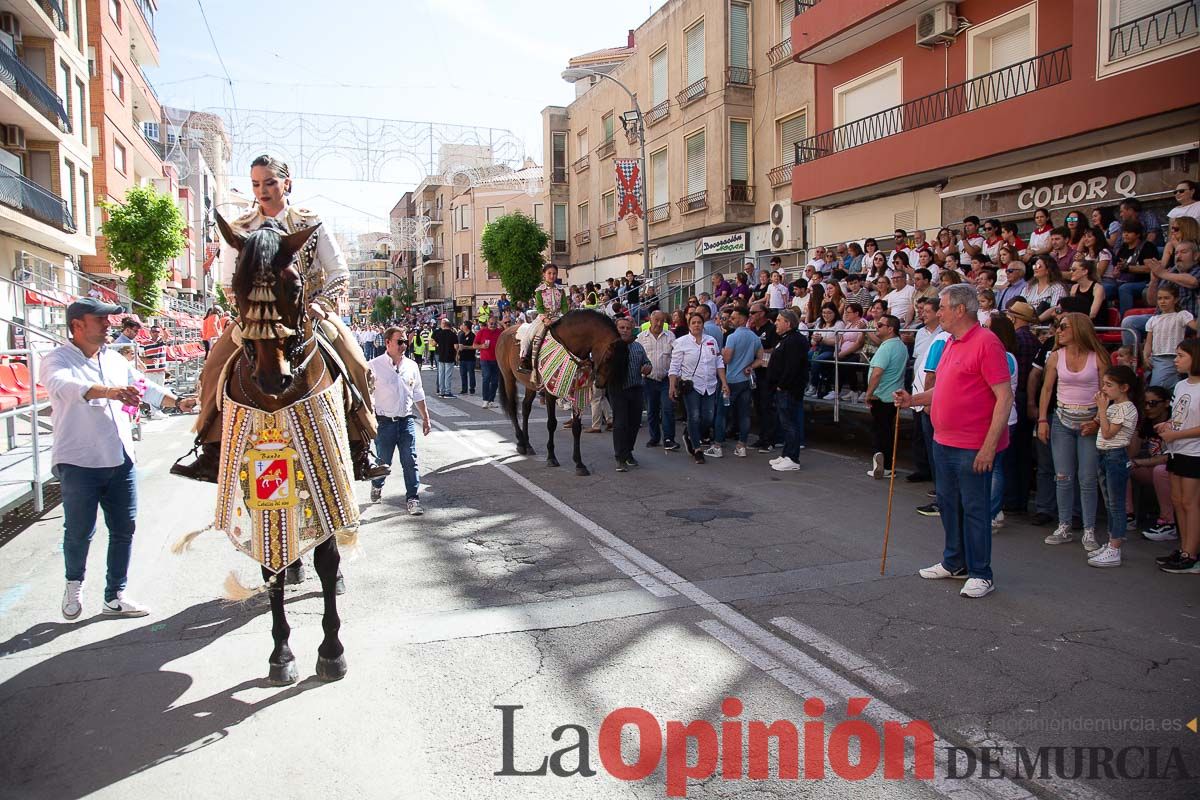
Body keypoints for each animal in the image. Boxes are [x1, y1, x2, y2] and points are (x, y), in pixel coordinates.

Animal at [217, 211, 350, 681]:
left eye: (294, 286)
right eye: (236, 284)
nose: (273, 377)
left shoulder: (327, 482)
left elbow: (328, 559)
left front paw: (331, 650)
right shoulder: (255, 497)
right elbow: (266, 568)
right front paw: (281, 654)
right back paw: (292, 569)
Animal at [494, 309, 628, 474]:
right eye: (609, 356)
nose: (601, 383)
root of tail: (504, 331)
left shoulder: (576, 392)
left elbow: (576, 428)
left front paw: (579, 463)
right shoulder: (550, 393)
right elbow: (551, 423)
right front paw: (551, 457)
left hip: (530, 384)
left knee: (525, 408)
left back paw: (528, 444)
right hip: (508, 378)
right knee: (513, 409)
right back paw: (520, 443)